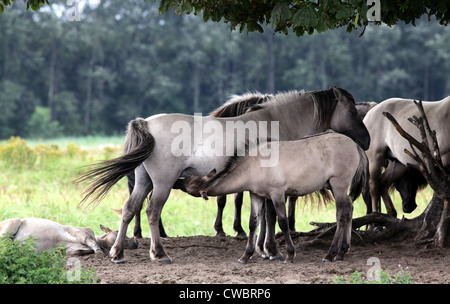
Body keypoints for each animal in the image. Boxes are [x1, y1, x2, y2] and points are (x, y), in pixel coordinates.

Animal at [0, 217, 137, 258]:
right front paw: (99, 252)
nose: (136, 242)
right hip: (14, 222)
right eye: (118, 231)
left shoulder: (70, 248)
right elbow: (91, 242)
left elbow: (80, 250)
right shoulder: (80, 232)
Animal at [186, 132, 370, 262]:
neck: (255, 163)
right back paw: (342, 252)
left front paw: (289, 254)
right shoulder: (256, 196)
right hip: (334, 187)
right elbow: (253, 223)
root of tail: (355, 145)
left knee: (342, 215)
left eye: (192, 184)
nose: (183, 183)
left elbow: (282, 222)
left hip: (339, 185)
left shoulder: (277, 194)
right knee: (349, 210)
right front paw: (246, 256)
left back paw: (330, 254)